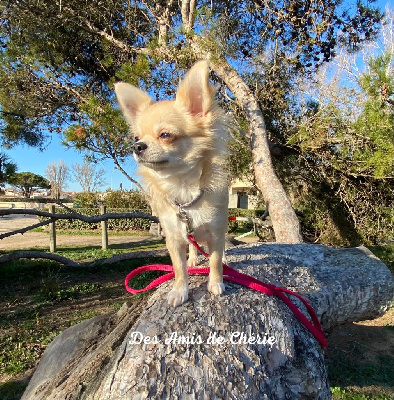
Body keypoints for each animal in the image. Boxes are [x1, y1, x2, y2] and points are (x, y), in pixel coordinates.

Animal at [114, 61, 228, 308]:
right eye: (136, 138)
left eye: (165, 135)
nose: (137, 147)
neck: (183, 189)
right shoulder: (174, 237)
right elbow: (179, 268)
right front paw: (180, 290)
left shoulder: (216, 231)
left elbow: (215, 260)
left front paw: (216, 283)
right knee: (193, 247)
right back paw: (194, 259)